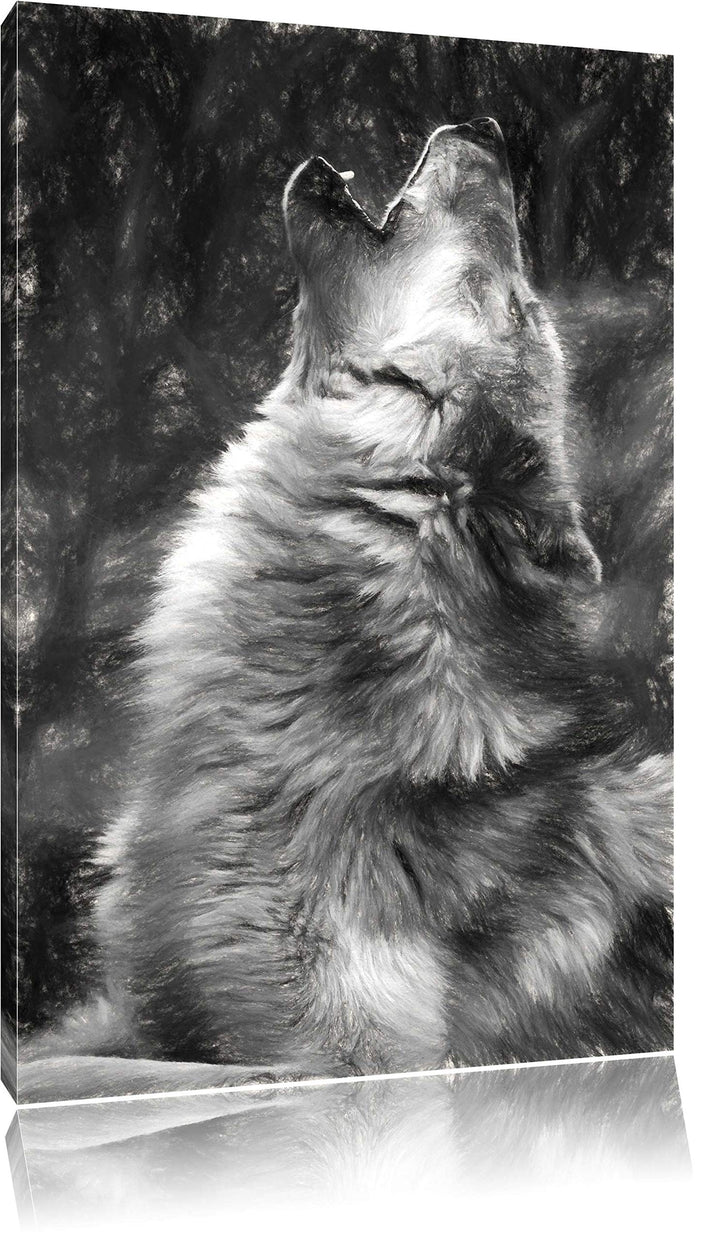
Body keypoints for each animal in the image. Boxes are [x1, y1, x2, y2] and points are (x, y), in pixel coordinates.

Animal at [20, 121, 671, 1099]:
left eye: (517, 305)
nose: (485, 129)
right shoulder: (141, 1012)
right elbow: (57, 1055)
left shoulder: (340, 1054)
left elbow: (110, 1081)